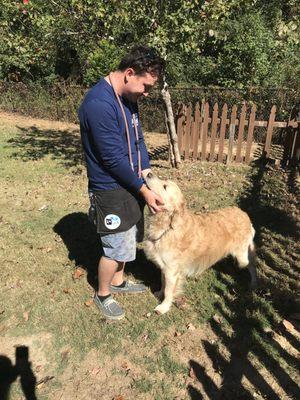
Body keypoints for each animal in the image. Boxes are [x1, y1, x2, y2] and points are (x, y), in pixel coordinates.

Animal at [144, 173, 258, 314]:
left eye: (165, 186)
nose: (149, 173)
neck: (167, 225)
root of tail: (243, 213)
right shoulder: (164, 266)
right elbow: (162, 282)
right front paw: (159, 293)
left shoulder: (172, 270)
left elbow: (168, 290)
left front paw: (164, 306)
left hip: (242, 255)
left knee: (252, 265)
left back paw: (253, 283)